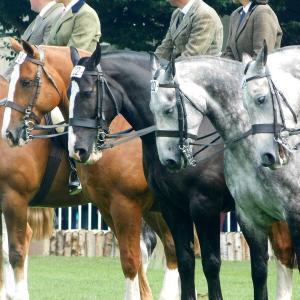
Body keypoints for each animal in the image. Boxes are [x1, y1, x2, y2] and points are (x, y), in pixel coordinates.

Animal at [67, 47, 236, 300]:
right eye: (68, 92)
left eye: (87, 92)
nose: (77, 149)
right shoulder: (163, 207)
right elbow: (181, 260)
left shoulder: (204, 206)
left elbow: (208, 262)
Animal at [150, 54, 300, 300]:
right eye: (151, 109)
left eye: (169, 109)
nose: (169, 161)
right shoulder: (248, 217)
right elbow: (258, 271)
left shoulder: (205, 206)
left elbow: (210, 263)